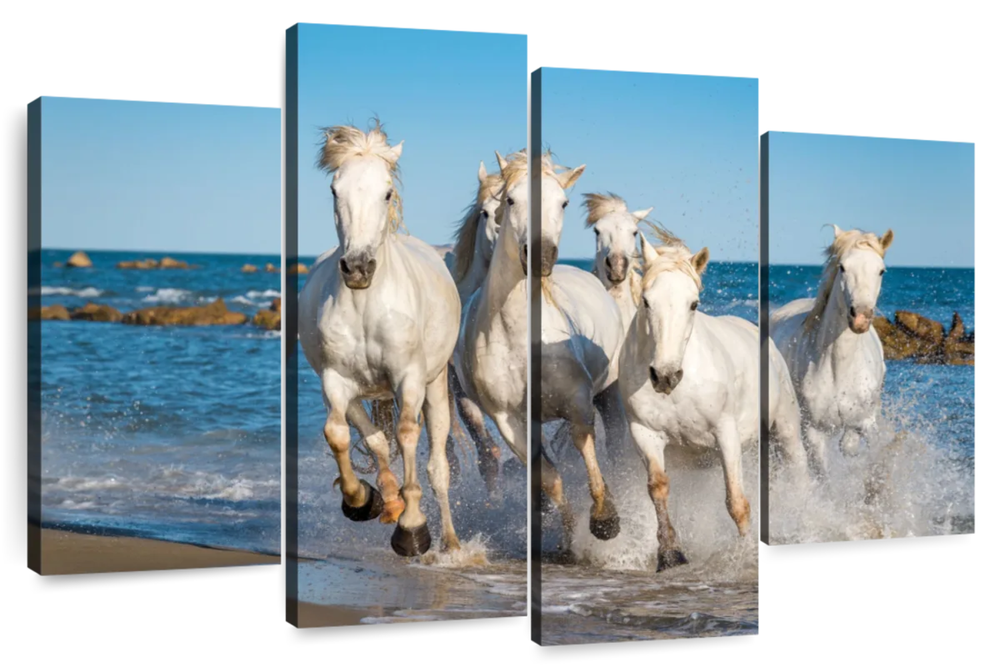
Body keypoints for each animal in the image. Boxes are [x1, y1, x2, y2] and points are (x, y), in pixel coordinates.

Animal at [298, 123, 463, 556]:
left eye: (386, 192)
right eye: (335, 190)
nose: (357, 268)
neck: (366, 305)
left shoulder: (409, 378)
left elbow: (407, 435)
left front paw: (413, 528)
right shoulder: (335, 381)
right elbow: (342, 435)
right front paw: (363, 500)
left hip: (435, 385)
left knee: (437, 466)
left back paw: (451, 542)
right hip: (360, 392)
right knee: (374, 440)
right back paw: (387, 500)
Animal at [620, 233, 786, 570]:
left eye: (693, 304)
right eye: (646, 301)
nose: (665, 376)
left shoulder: (726, 433)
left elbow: (737, 502)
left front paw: (746, 554)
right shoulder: (644, 432)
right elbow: (658, 488)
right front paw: (670, 554)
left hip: (786, 427)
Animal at [770, 225, 894, 475]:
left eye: (881, 271)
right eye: (843, 267)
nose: (861, 317)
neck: (839, 367)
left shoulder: (867, 421)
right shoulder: (814, 431)